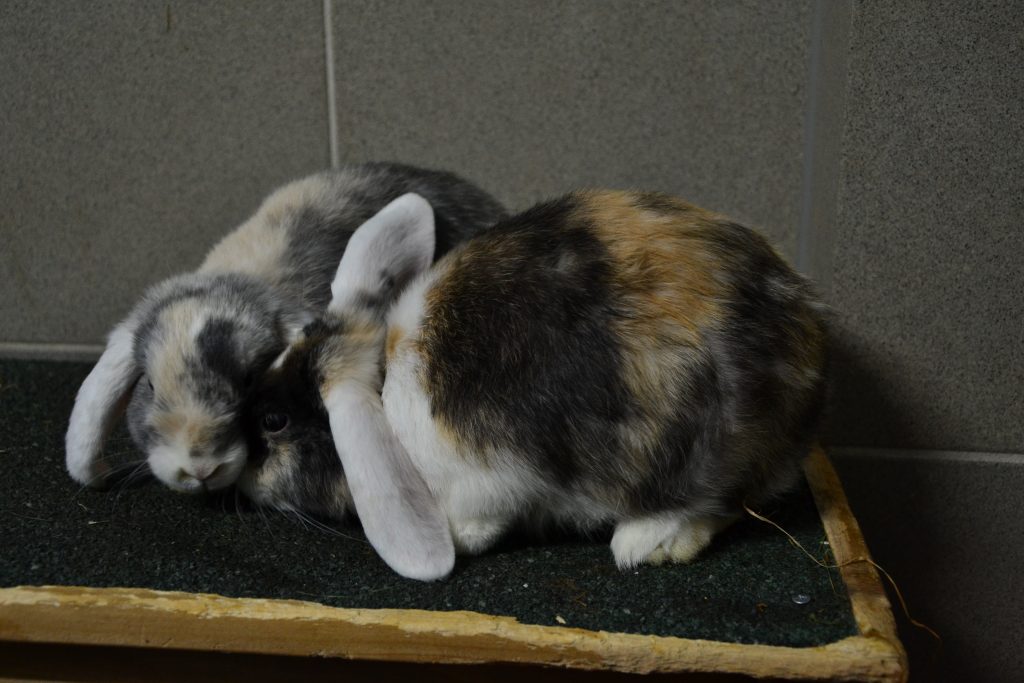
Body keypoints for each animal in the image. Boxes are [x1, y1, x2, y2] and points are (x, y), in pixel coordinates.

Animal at [239, 190, 829, 581]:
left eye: (274, 422)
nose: (241, 478)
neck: (382, 369)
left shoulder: (480, 481)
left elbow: (482, 518)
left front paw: (460, 540)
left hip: (687, 440)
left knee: (715, 499)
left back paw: (645, 542)